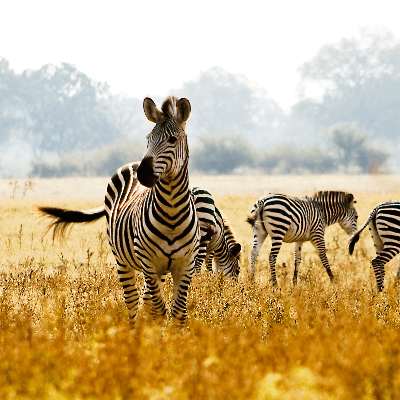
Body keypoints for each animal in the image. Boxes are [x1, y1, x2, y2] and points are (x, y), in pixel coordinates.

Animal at [38, 97, 198, 324]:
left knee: (145, 300)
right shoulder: (148, 262)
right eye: (148, 138)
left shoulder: (186, 265)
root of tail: (132, 164)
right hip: (123, 261)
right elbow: (159, 310)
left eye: (172, 140)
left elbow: (178, 313)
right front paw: (156, 334)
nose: (143, 173)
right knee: (132, 302)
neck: (172, 213)